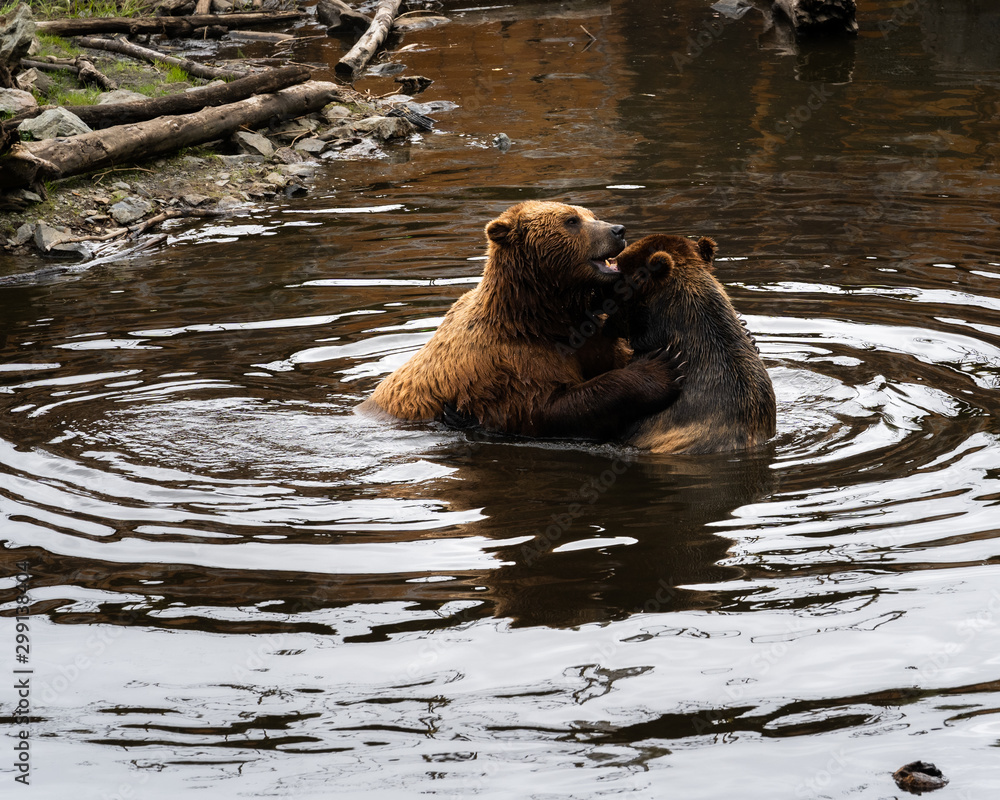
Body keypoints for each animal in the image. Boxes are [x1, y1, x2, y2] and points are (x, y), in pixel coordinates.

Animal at [357, 201, 685, 441]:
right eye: (571, 220)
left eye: (591, 215)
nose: (618, 229)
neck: (540, 318)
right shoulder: (510, 363)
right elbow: (549, 409)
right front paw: (660, 368)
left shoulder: (591, 337)